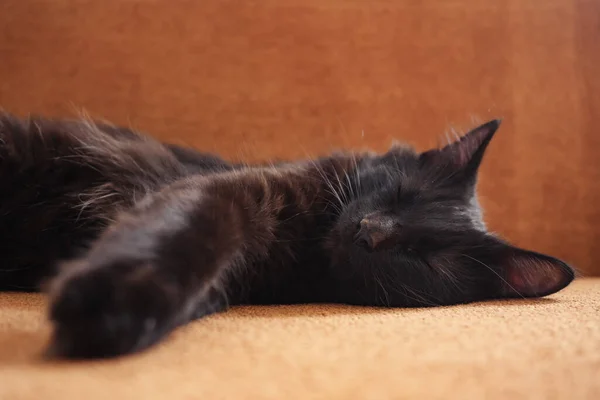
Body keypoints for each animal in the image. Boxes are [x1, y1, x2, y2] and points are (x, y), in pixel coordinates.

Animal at [0, 113, 576, 360]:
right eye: (398, 194)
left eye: (422, 256)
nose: (369, 232)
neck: (306, 252)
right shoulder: (231, 192)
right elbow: (184, 230)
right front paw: (111, 299)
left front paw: (120, 311)